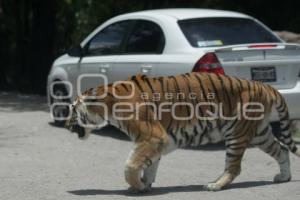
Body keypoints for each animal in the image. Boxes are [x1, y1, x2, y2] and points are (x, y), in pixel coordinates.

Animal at [66, 72, 300, 192]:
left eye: (73, 109)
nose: (66, 124)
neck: (107, 105)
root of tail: (264, 85)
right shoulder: (159, 141)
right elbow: (149, 164)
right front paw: (145, 184)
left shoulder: (152, 137)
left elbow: (130, 165)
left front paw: (137, 185)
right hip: (260, 133)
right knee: (281, 150)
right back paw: (284, 177)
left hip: (236, 133)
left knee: (234, 167)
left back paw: (215, 185)